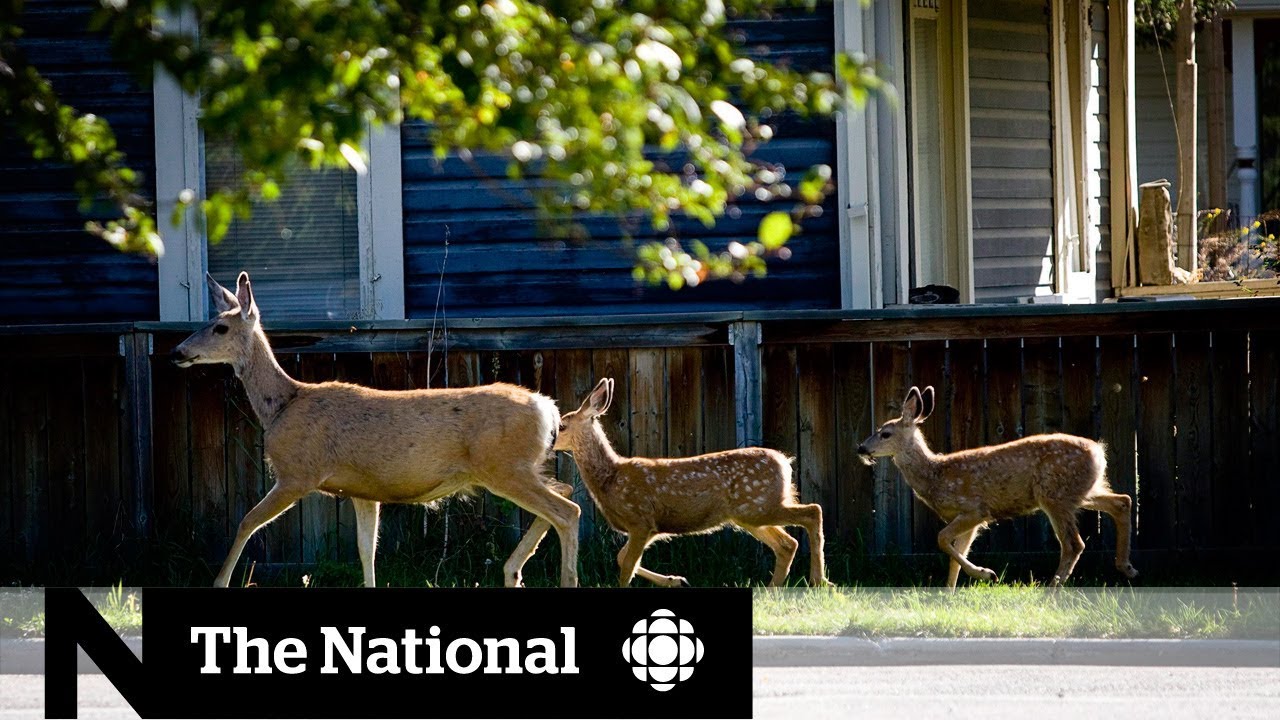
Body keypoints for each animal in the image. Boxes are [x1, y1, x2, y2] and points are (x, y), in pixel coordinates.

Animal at [170, 272, 581, 588]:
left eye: (220, 327)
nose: (177, 352)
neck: (282, 404)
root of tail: (548, 409)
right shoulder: (362, 491)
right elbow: (366, 551)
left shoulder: (297, 473)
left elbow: (246, 521)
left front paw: (219, 582)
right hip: (520, 466)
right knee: (564, 490)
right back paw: (513, 572)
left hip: (504, 467)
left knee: (568, 510)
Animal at [554, 378, 831, 588]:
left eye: (562, 425)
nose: (550, 440)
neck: (611, 477)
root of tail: (785, 463)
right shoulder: (651, 527)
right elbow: (623, 559)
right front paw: (676, 580)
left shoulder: (641, 520)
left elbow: (626, 568)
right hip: (750, 514)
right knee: (787, 543)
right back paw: (775, 587)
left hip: (758, 506)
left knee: (813, 512)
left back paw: (818, 580)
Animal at [856, 386, 1139, 590]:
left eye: (885, 433)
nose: (861, 448)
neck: (935, 474)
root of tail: (1098, 452)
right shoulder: (969, 518)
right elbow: (955, 552)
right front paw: (949, 592)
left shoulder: (975, 509)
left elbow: (942, 539)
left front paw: (986, 574)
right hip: (1081, 491)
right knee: (1122, 501)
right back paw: (1127, 568)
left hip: (1054, 494)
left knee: (1074, 543)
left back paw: (1052, 587)